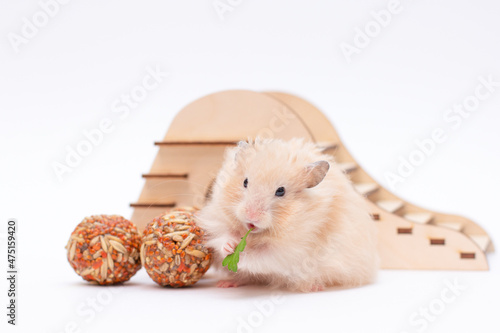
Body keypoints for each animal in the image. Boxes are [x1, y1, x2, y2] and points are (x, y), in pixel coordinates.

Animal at [195, 137, 378, 290]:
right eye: (245, 182)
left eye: (281, 191)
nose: (251, 218)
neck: (256, 235)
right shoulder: (217, 220)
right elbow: (223, 237)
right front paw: (230, 247)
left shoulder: (290, 251)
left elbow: (261, 256)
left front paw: (242, 256)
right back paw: (225, 283)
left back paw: (315, 287)